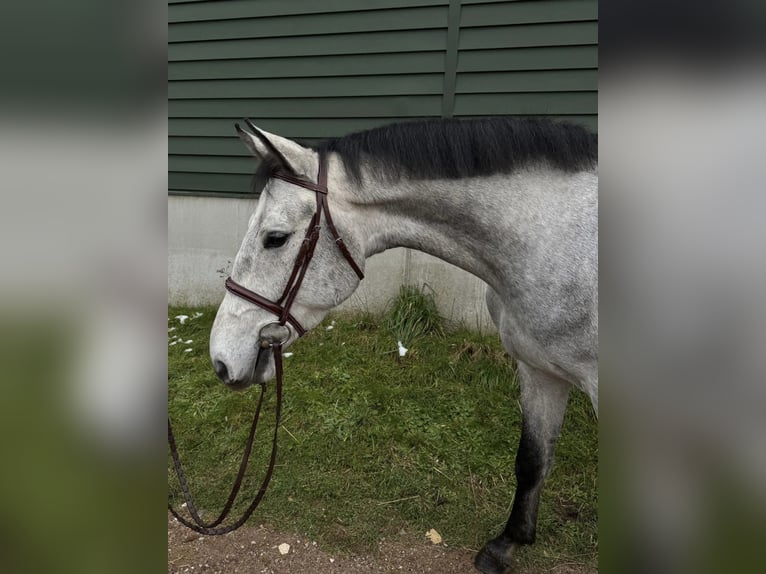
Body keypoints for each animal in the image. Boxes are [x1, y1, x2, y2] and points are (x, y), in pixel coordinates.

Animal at [210, 118, 600, 574]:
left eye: (275, 238)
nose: (220, 360)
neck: (551, 243)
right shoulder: (541, 371)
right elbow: (532, 460)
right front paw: (506, 546)